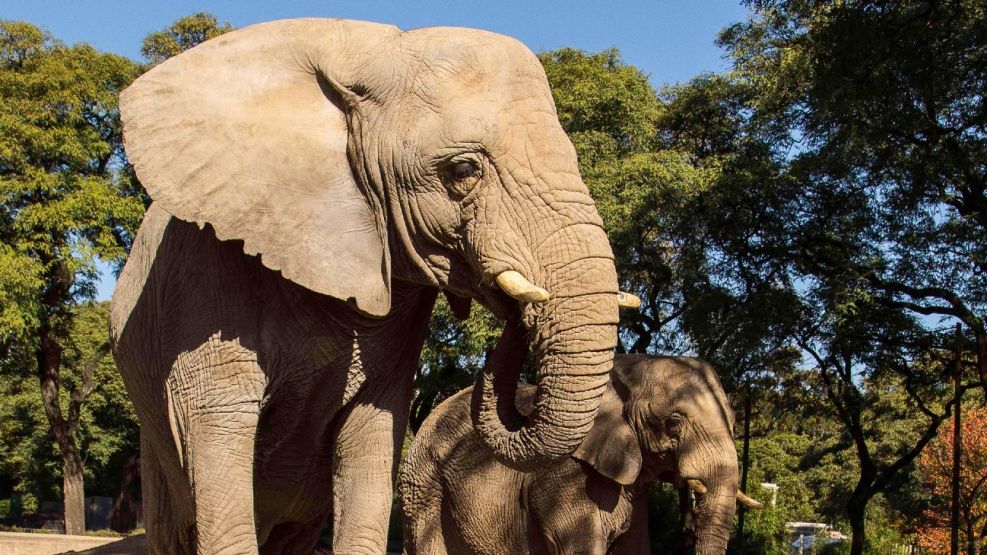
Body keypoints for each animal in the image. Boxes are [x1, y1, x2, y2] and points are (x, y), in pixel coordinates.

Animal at [109, 18, 637, 555]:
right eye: (463, 169)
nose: (515, 307)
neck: (364, 58)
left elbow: (372, 433)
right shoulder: (205, 268)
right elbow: (218, 424)